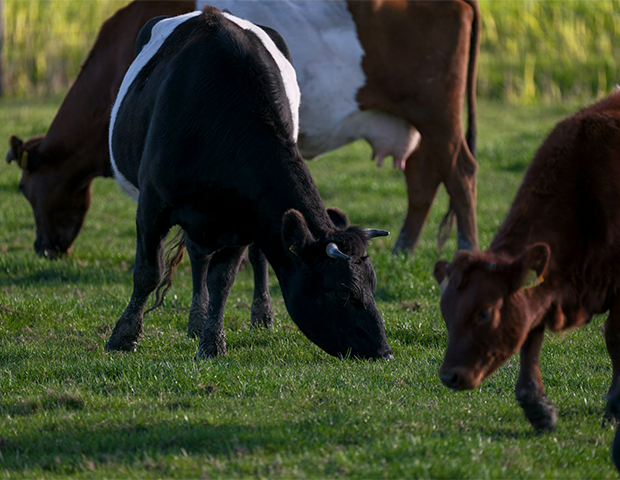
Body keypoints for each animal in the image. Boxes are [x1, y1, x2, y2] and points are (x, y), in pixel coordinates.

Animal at [106, 6, 392, 360]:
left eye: (373, 284)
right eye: (342, 293)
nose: (384, 351)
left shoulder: (244, 217)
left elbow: (222, 279)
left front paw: (212, 343)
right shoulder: (151, 205)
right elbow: (148, 272)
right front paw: (123, 337)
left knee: (248, 257)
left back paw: (258, 315)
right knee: (196, 257)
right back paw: (195, 320)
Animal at [434, 90, 620, 432]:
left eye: (484, 313)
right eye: (446, 314)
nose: (449, 376)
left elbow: (614, 336)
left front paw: (614, 406)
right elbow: (530, 337)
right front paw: (536, 405)